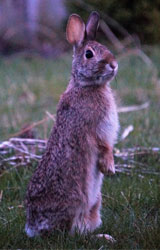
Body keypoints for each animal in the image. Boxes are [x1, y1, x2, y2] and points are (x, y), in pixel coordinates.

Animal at [24, 11, 119, 238]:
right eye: (89, 54)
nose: (113, 64)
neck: (87, 86)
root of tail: (32, 225)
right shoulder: (94, 129)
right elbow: (104, 147)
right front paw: (109, 168)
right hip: (75, 198)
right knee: (67, 234)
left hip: (95, 202)